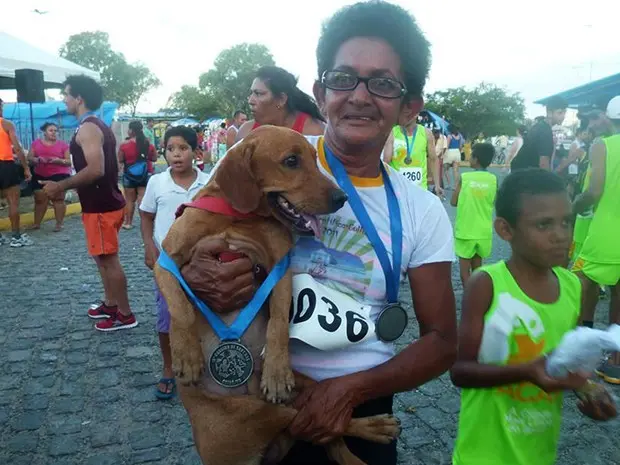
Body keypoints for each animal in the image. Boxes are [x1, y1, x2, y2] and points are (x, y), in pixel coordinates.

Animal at [153, 127, 400, 464]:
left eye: (314, 160)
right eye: (291, 161)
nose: (342, 198)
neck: (238, 217)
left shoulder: (279, 270)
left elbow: (279, 323)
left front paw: (276, 371)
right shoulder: (165, 260)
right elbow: (180, 307)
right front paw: (186, 354)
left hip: (299, 395)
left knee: (332, 427)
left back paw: (373, 427)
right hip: (264, 413)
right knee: (325, 431)